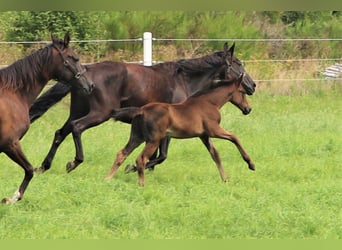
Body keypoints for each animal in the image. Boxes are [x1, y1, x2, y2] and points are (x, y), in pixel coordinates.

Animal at [0, 31, 93, 203]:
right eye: (74, 58)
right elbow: (30, 170)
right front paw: (13, 198)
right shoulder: (10, 143)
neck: (13, 94)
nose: (90, 85)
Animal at [28, 42, 254, 174]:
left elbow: (154, 155)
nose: (252, 86)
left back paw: (44, 166)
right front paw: (132, 167)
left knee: (60, 132)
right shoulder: (171, 127)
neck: (183, 81)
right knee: (77, 127)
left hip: (78, 110)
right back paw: (74, 162)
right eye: (238, 64)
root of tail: (85, 73)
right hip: (99, 113)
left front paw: (139, 168)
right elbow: (162, 156)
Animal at [105, 73, 255, 187]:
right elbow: (235, 137)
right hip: (153, 140)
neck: (210, 103)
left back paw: (108, 178)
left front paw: (225, 179)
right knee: (141, 159)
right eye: (242, 92)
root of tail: (141, 110)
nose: (248, 109)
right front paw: (251, 164)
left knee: (122, 154)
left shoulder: (204, 136)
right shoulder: (214, 130)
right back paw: (142, 184)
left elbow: (215, 155)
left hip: (137, 137)